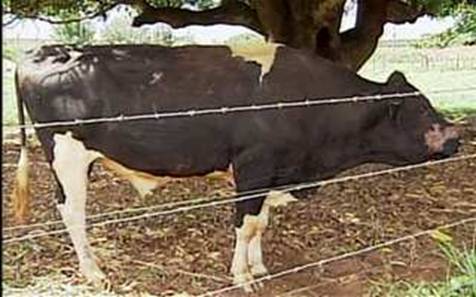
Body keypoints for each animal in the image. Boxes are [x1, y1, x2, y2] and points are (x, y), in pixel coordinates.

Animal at [10, 44, 458, 292]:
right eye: (421, 108)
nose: (456, 138)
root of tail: (47, 50)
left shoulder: (273, 173)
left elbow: (259, 223)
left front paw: (258, 266)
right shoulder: (253, 167)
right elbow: (245, 224)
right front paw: (241, 276)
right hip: (66, 155)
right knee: (72, 213)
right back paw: (93, 273)